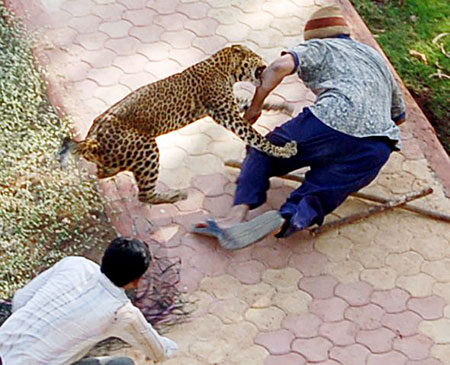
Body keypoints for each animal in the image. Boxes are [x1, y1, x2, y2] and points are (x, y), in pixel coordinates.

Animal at [59, 44, 298, 203]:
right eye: (256, 57)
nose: (266, 64)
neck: (224, 69)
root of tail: (91, 140)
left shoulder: (227, 106)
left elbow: (247, 101)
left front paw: (280, 106)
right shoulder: (226, 113)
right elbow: (255, 136)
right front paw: (283, 151)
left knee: (103, 172)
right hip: (146, 148)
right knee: (144, 195)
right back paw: (175, 195)